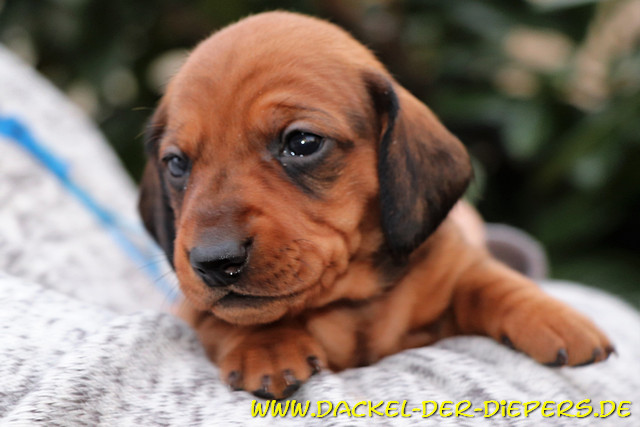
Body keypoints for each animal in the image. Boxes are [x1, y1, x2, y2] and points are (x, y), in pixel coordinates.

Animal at [139, 11, 613, 399]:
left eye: (302, 142)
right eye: (176, 164)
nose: (214, 261)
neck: (353, 300)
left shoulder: (452, 264)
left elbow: (486, 280)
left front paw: (553, 317)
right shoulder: (193, 308)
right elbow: (227, 317)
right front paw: (267, 344)